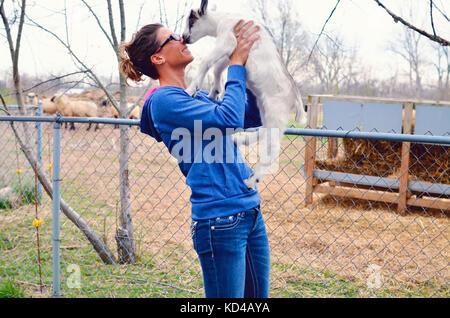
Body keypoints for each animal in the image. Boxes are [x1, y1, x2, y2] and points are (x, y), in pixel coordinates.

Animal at [182, 0, 306, 189]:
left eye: (191, 21)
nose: (183, 38)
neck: (222, 19)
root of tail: (296, 98)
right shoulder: (231, 51)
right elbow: (218, 68)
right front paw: (213, 93)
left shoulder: (227, 41)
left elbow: (206, 62)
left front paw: (191, 89)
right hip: (267, 111)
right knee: (264, 131)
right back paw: (240, 141)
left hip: (276, 113)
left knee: (273, 148)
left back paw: (251, 181)